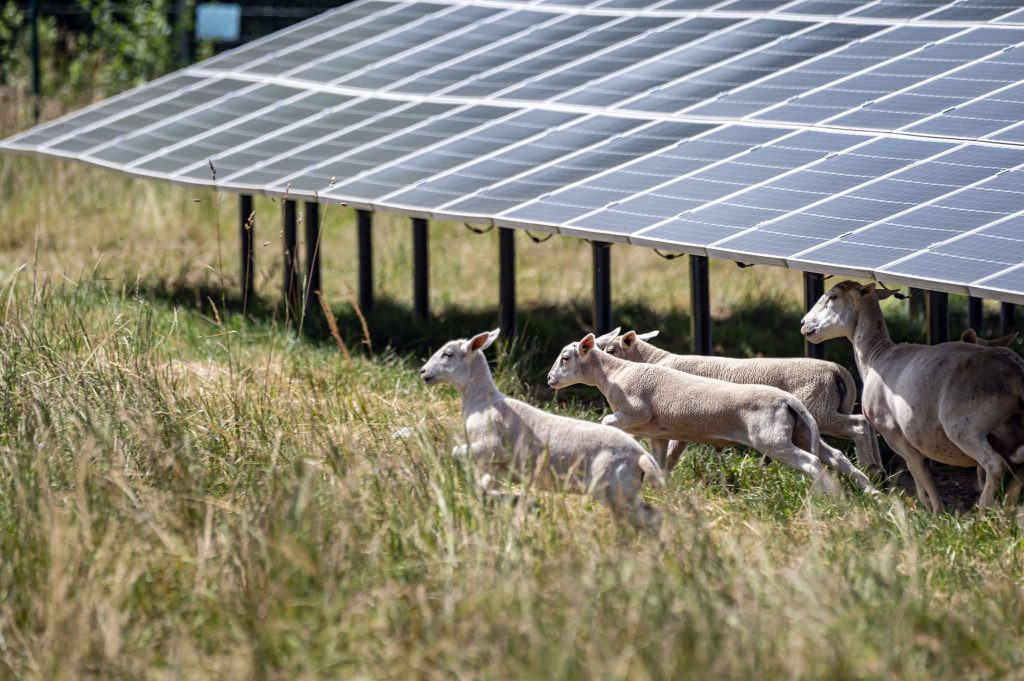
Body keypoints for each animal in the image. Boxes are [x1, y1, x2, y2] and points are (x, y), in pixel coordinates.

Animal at [421, 327, 667, 532]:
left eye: (448, 354)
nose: (423, 372)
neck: (482, 401)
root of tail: (641, 456)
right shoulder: (498, 466)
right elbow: (484, 487)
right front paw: (509, 500)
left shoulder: (490, 446)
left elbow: (457, 453)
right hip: (624, 490)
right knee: (651, 516)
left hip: (614, 488)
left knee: (645, 519)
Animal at [548, 333, 860, 497]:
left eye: (565, 357)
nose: (550, 379)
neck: (615, 373)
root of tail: (789, 400)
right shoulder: (659, 433)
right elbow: (660, 461)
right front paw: (658, 489)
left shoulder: (635, 412)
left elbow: (608, 422)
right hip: (802, 432)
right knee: (835, 456)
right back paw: (863, 492)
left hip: (774, 439)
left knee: (812, 461)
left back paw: (829, 496)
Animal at [598, 327, 880, 475]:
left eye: (610, 350)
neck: (657, 361)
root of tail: (837, 370)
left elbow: (670, 452)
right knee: (863, 425)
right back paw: (875, 474)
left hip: (819, 411)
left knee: (858, 425)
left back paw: (869, 468)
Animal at [798, 280, 1024, 509]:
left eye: (833, 296)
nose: (803, 323)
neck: (875, 356)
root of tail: (1015, 374)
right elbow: (920, 474)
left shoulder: (894, 433)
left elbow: (919, 472)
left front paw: (934, 509)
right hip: (1008, 434)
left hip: (965, 427)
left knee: (994, 465)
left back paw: (983, 510)